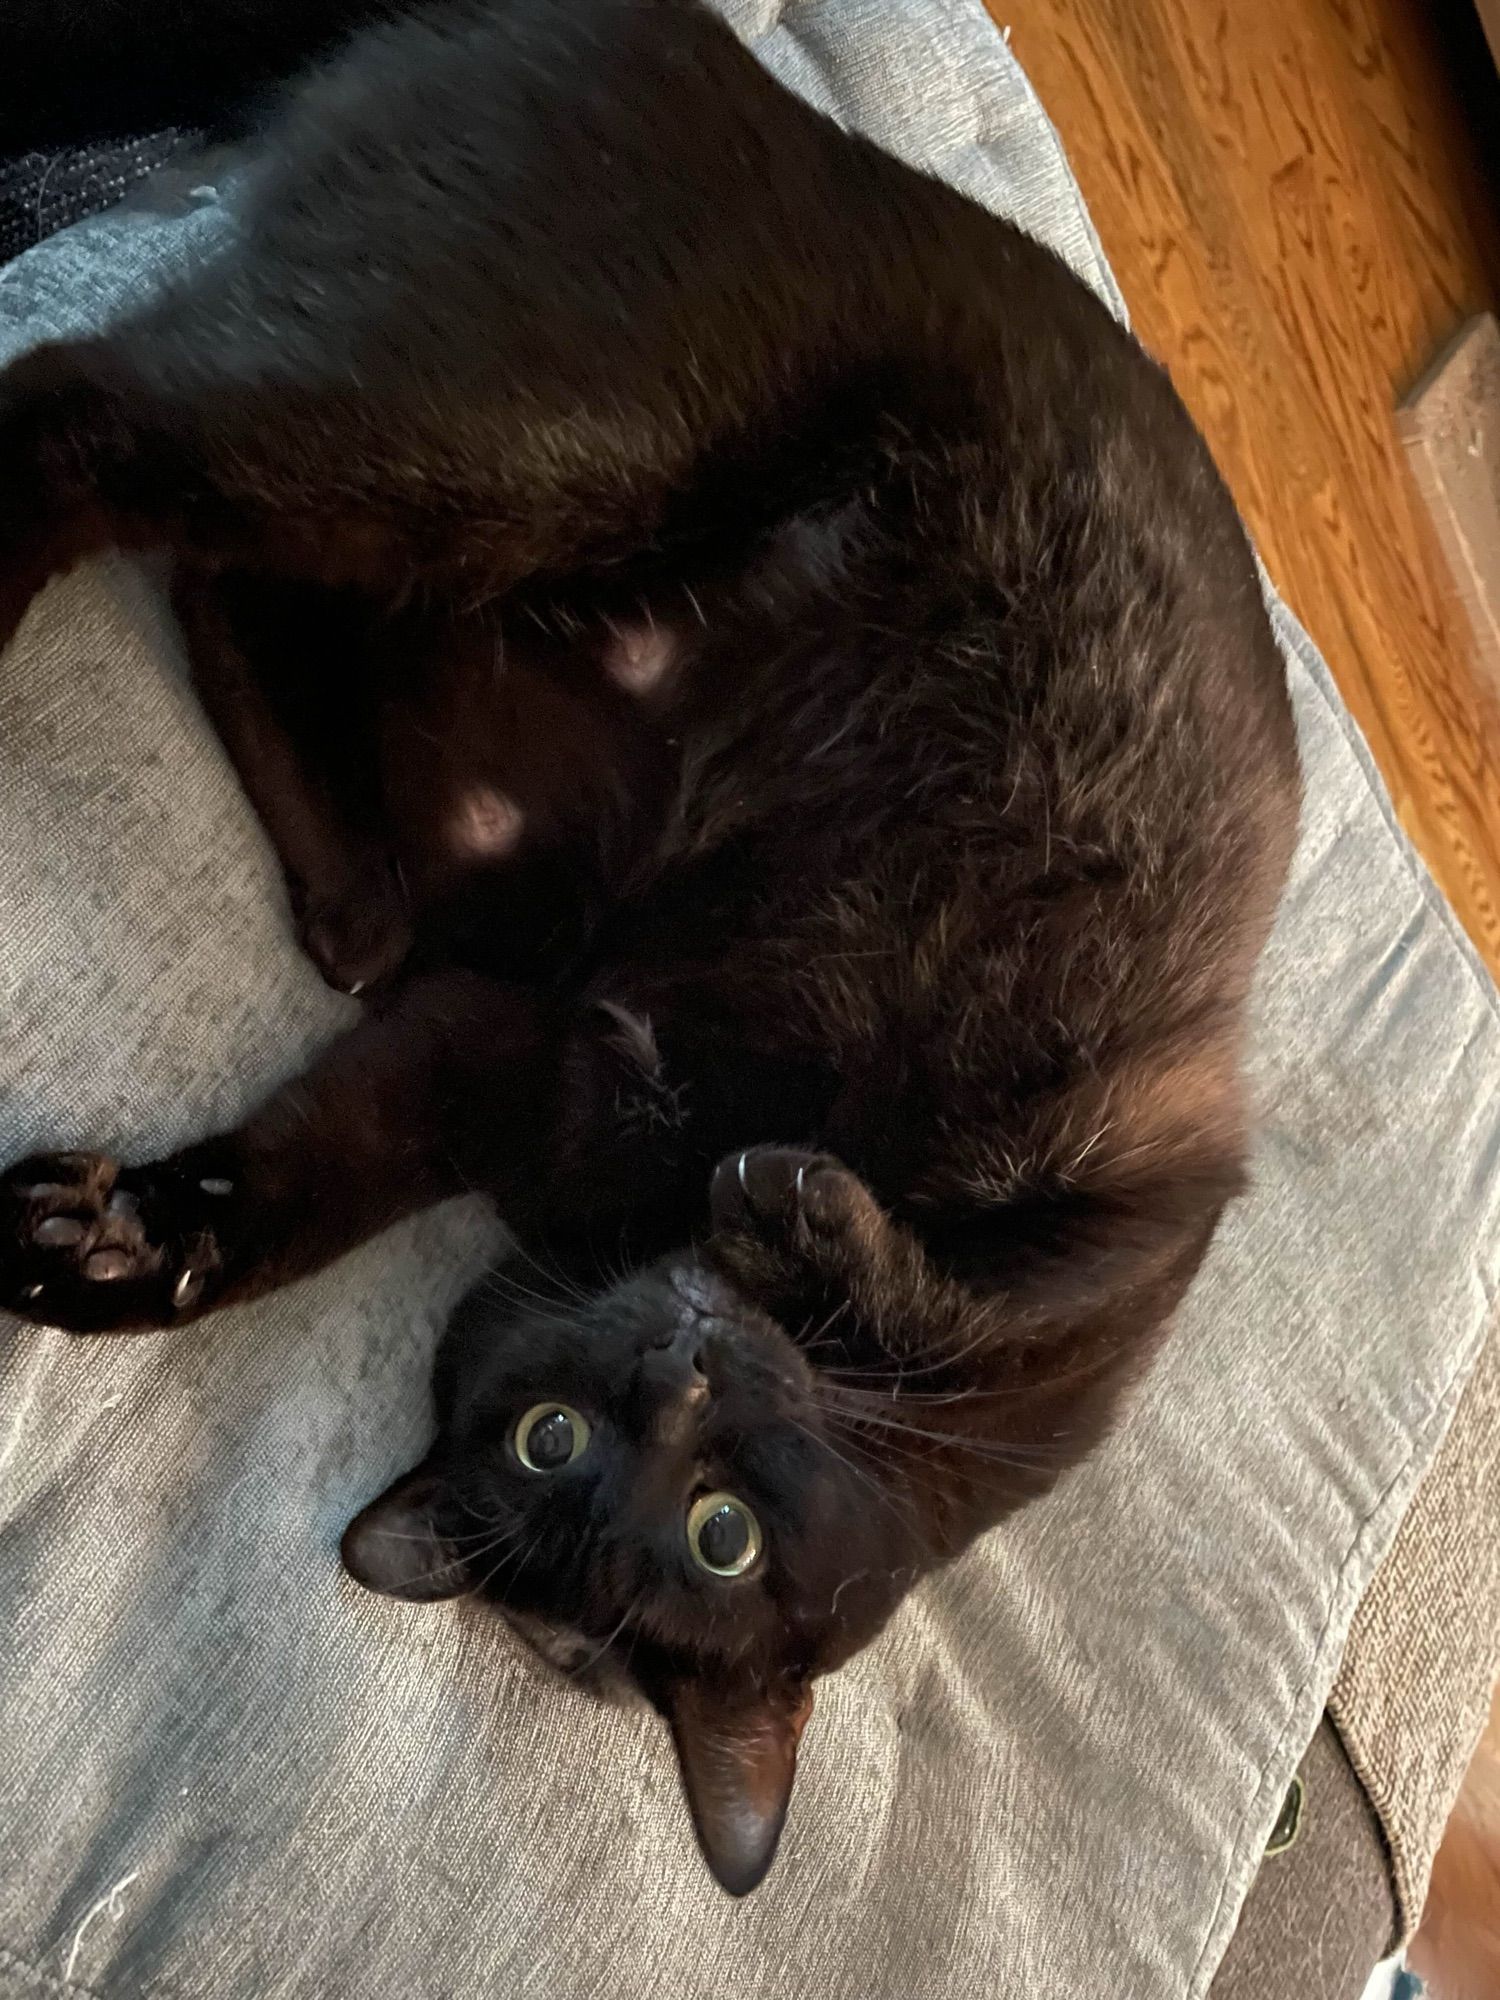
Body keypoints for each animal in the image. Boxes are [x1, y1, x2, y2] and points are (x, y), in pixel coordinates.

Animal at [0, 0, 1296, 1888]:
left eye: (714, 1536)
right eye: (566, 1443)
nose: (681, 1364)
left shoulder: (493, 1051)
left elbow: (300, 1186)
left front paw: (123, 1249)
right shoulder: (1147, 1210)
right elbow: (967, 1290)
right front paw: (821, 1217)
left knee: (217, 583)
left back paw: (346, 893)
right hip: (509, 440)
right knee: (76, 408)